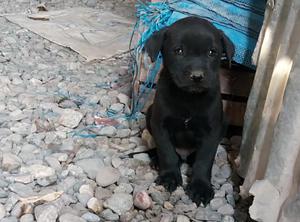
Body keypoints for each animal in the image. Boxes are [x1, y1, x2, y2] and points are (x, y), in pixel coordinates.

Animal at [144, 16, 234, 206]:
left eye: (212, 52)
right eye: (179, 51)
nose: (197, 76)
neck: (188, 98)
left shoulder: (212, 131)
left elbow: (204, 159)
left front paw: (201, 188)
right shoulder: (160, 125)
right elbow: (167, 152)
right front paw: (169, 177)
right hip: (149, 113)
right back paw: (156, 160)